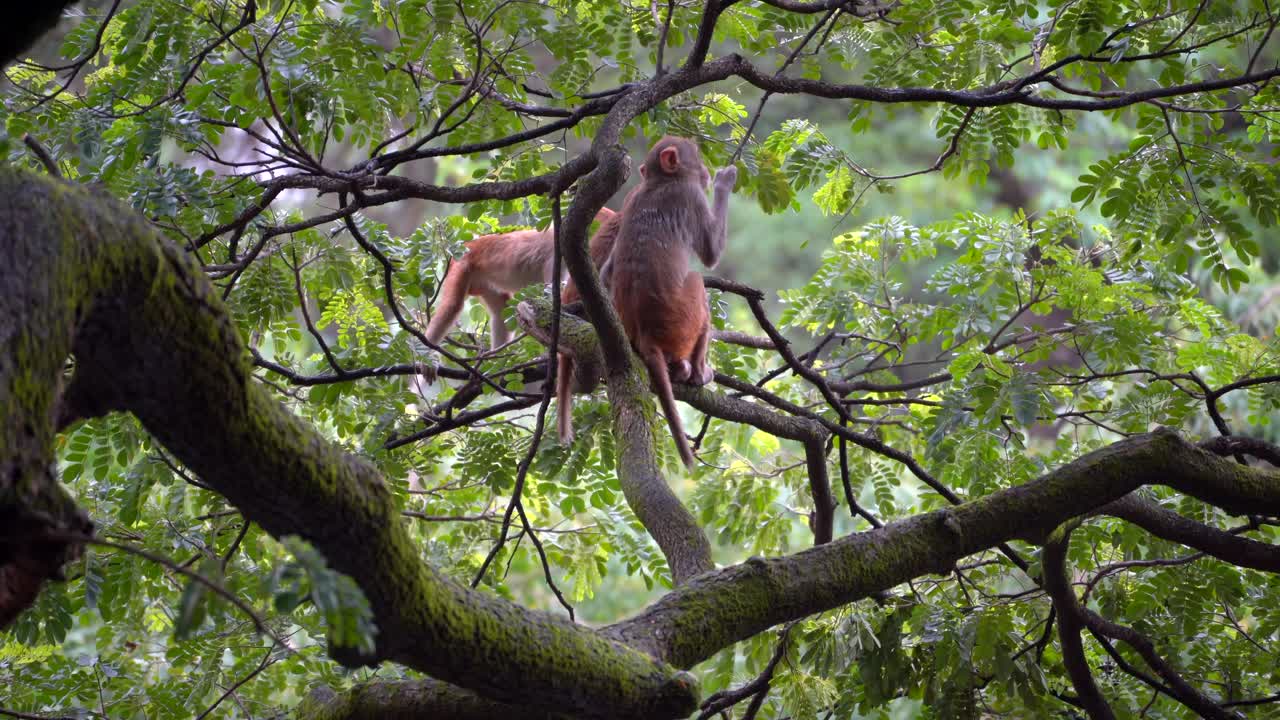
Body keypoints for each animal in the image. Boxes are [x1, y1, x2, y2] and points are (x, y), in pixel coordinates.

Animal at [604, 136, 736, 469]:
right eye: (697, 157)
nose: (705, 171)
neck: (658, 181)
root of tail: (646, 337)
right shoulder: (689, 195)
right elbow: (711, 253)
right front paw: (724, 181)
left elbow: (607, 271)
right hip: (681, 325)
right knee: (697, 282)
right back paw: (697, 372)